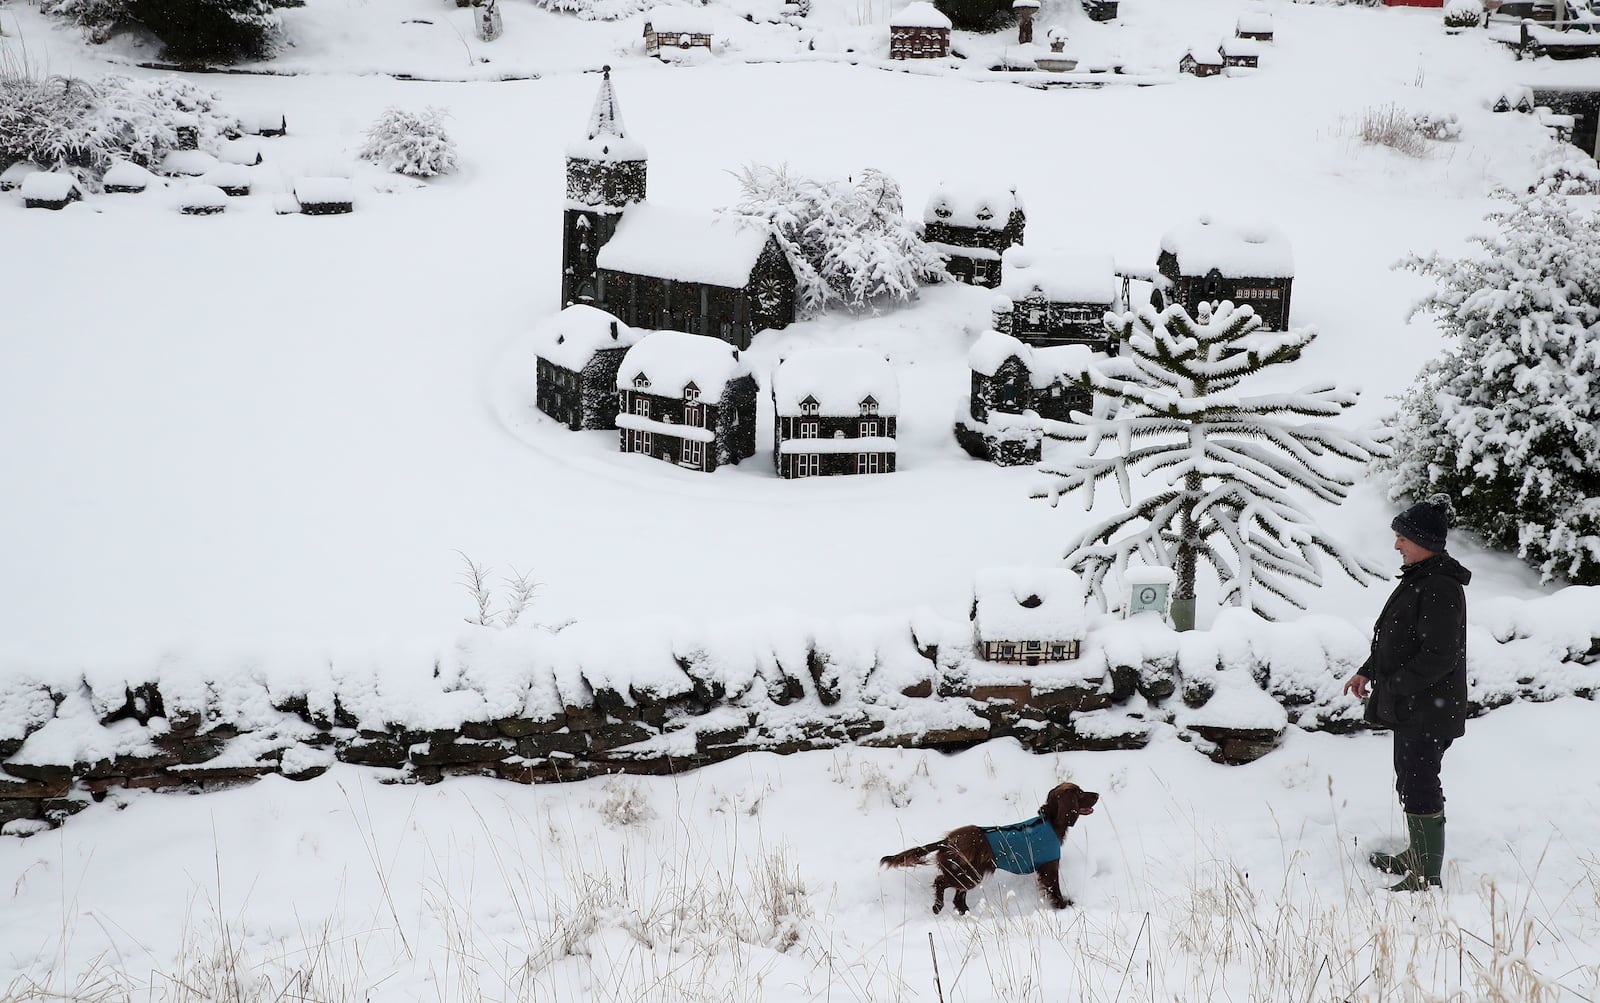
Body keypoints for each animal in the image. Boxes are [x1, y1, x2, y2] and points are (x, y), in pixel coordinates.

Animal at [876, 783, 1100, 921]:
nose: (1097, 794)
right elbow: (1055, 889)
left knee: (957, 897)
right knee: (940, 881)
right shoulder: (1049, 868)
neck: (1050, 822)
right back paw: (937, 907)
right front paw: (1063, 905)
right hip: (968, 874)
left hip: (970, 873)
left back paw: (965, 911)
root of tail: (947, 841)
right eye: (1080, 792)